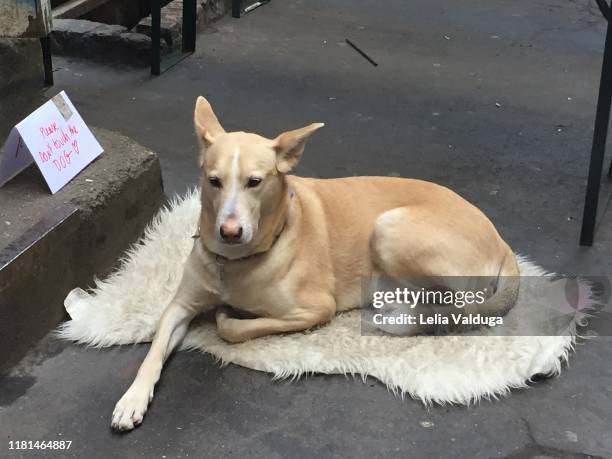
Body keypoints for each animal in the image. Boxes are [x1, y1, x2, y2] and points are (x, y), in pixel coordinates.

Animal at [109, 96, 516, 432]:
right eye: (214, 181)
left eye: (255, 182)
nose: (229, 231)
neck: (236, 261)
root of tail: (502, 242)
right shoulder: (179, 306)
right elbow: (154, 351)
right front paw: (132, 399)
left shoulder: (316, 309)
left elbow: (235, 329)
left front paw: (229, 316)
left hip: (390, 228)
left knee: (456, 308)